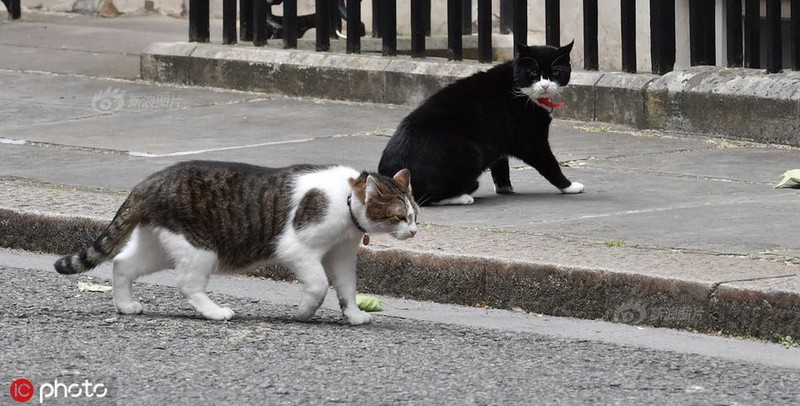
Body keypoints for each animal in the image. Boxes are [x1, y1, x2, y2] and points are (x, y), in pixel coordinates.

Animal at [54, 160, 418, 326]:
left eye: (415, 216)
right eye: (400, 217)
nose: (414, 231)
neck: (346, 199)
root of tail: (149, 181)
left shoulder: (341, 254)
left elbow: (346, 287)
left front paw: (354, 315)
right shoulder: (296, 248)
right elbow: (318, 284)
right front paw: (303, 312)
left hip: (159, 246)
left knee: (122, 264)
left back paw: (125, 305)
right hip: (200, 247)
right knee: (188, 284)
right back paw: (215, 312)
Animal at [378, 41, 584, 206]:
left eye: (556, 72)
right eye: (533, 73)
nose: (545, 85)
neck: (520, 90)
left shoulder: (499, 138)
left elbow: (500, 164)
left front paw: (504, 187)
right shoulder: (530, 139)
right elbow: (549, 163)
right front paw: (569, 186)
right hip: (471, 152)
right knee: (423, 197)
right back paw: (462, 197)